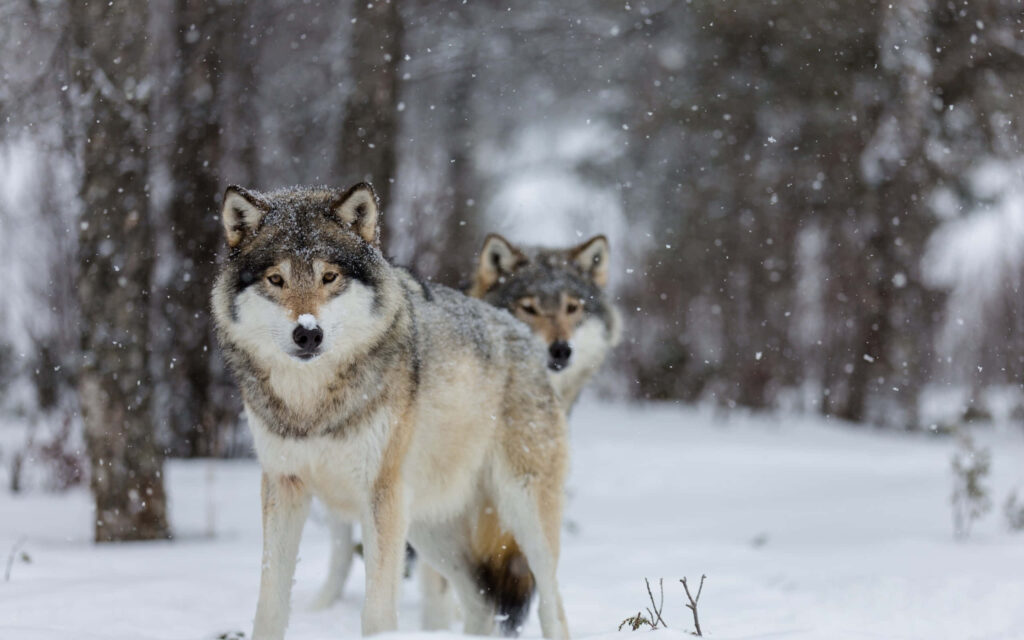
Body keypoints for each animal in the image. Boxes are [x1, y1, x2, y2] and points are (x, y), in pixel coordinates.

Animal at [211, 183, 570, 640]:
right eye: (276, 279)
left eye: (329, 277)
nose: (308, 333)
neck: (312, 406)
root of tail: (522, 332)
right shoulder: (283, 485)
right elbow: (270, 604)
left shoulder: (379, 496)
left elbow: (377, 613)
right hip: (428, 528)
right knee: (481, 605)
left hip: (522, 514)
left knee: (553, 605)